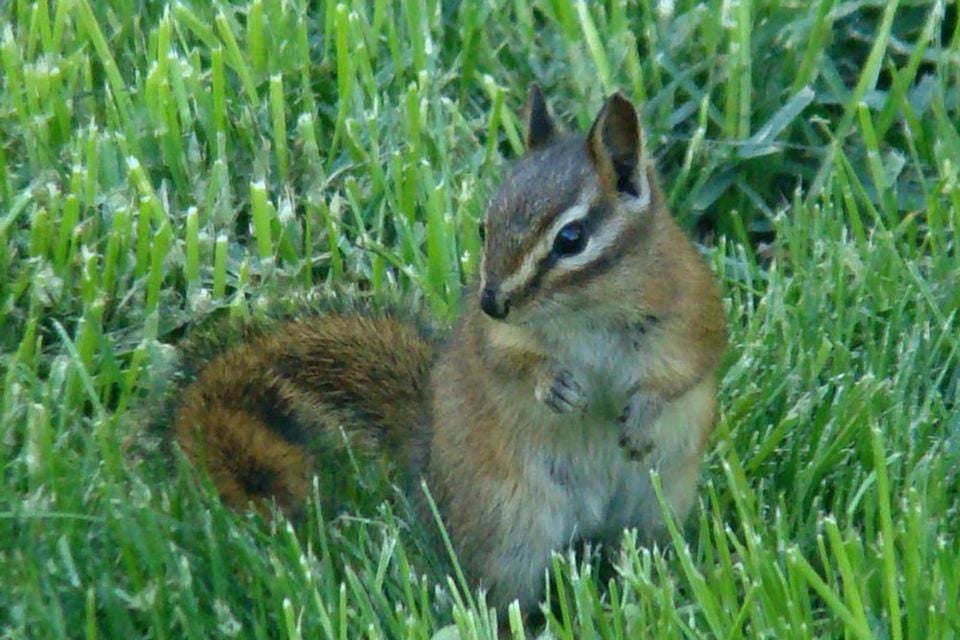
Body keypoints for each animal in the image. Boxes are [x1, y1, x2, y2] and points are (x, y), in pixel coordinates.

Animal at [169, 85, 726, 615]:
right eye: (485, 225)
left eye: (571, 238)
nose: (492, 301)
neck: (586, 310)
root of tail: (425, 462)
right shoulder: (497, 338)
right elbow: (509, 361)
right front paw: (554, 386)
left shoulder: (693, 318)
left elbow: (685, 373)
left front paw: (642, 415)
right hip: (508, 528)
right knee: (501, 597)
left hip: (656, 509)